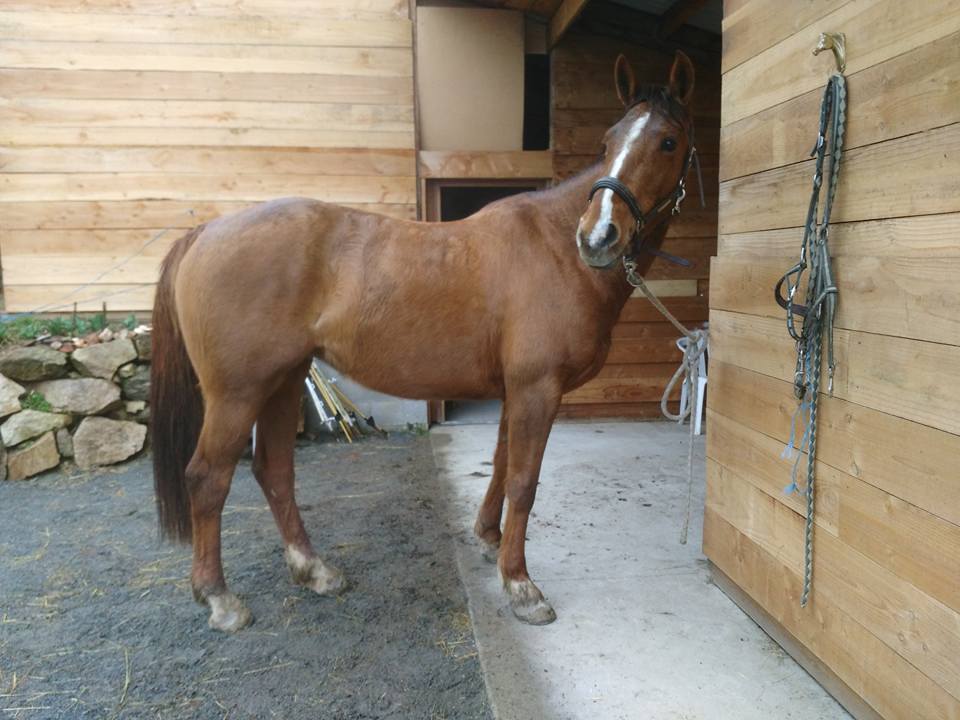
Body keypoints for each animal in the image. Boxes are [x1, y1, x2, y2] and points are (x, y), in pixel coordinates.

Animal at [154, 52, 696, 632]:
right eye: (608, 141)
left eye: (668, 141)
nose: (597, 238)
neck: (554, 248)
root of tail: (205, 232)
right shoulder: (537, 389)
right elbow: (524, 481)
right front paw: (520, 585)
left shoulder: (516, 390)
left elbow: (502, 466)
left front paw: (489, 540)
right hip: (238, 393)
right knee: (208, 478)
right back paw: (219, 598)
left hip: (282, 381)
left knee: (273, 470)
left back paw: (315, 570)